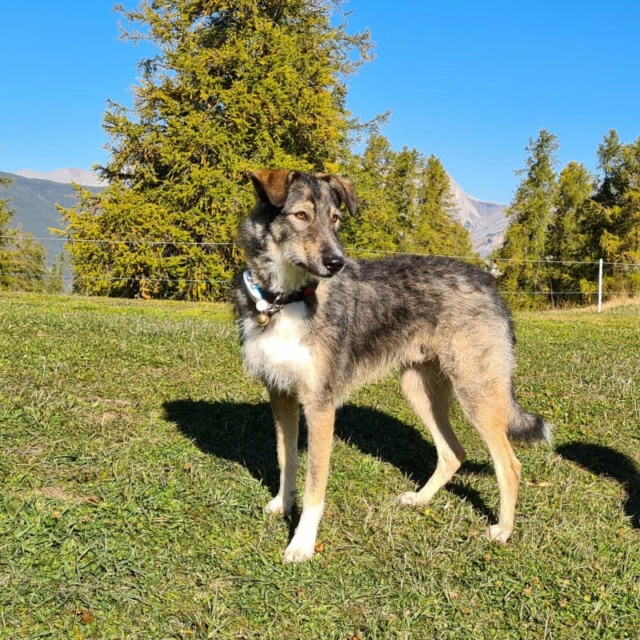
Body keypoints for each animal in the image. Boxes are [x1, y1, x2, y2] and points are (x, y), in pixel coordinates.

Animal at [235, 168, 552, 564]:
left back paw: (503, 530)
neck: (286, 300)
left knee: (509, 465)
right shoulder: (281, 395)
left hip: (476, 395)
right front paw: (282, 504)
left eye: (335, 220)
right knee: (453, 453)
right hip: (418, 390)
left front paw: (302, 543)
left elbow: (315, 487)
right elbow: (286, 459)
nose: (336, 262)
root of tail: (490, 284)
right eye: (301, 215)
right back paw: (420, 499)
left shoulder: (320, 406)